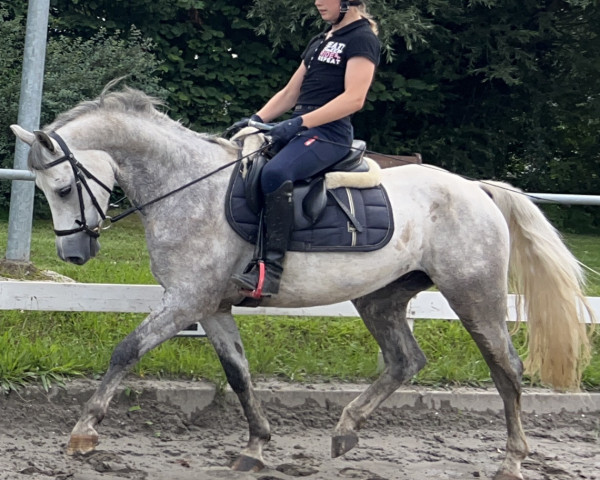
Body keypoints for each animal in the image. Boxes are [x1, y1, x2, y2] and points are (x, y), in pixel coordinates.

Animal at [11, 87, 592, 480]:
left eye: (61, 187)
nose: (73, 254)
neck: (187, 188)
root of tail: (476, 188)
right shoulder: (212, 307)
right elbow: (239, 374)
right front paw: (256, 447)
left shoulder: (186, 302)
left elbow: (126, 351)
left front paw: (83, 434)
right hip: (380, 297)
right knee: (405, 360)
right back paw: (346, 431)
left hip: (475, 296)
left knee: (506, 368)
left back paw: (512, 460)